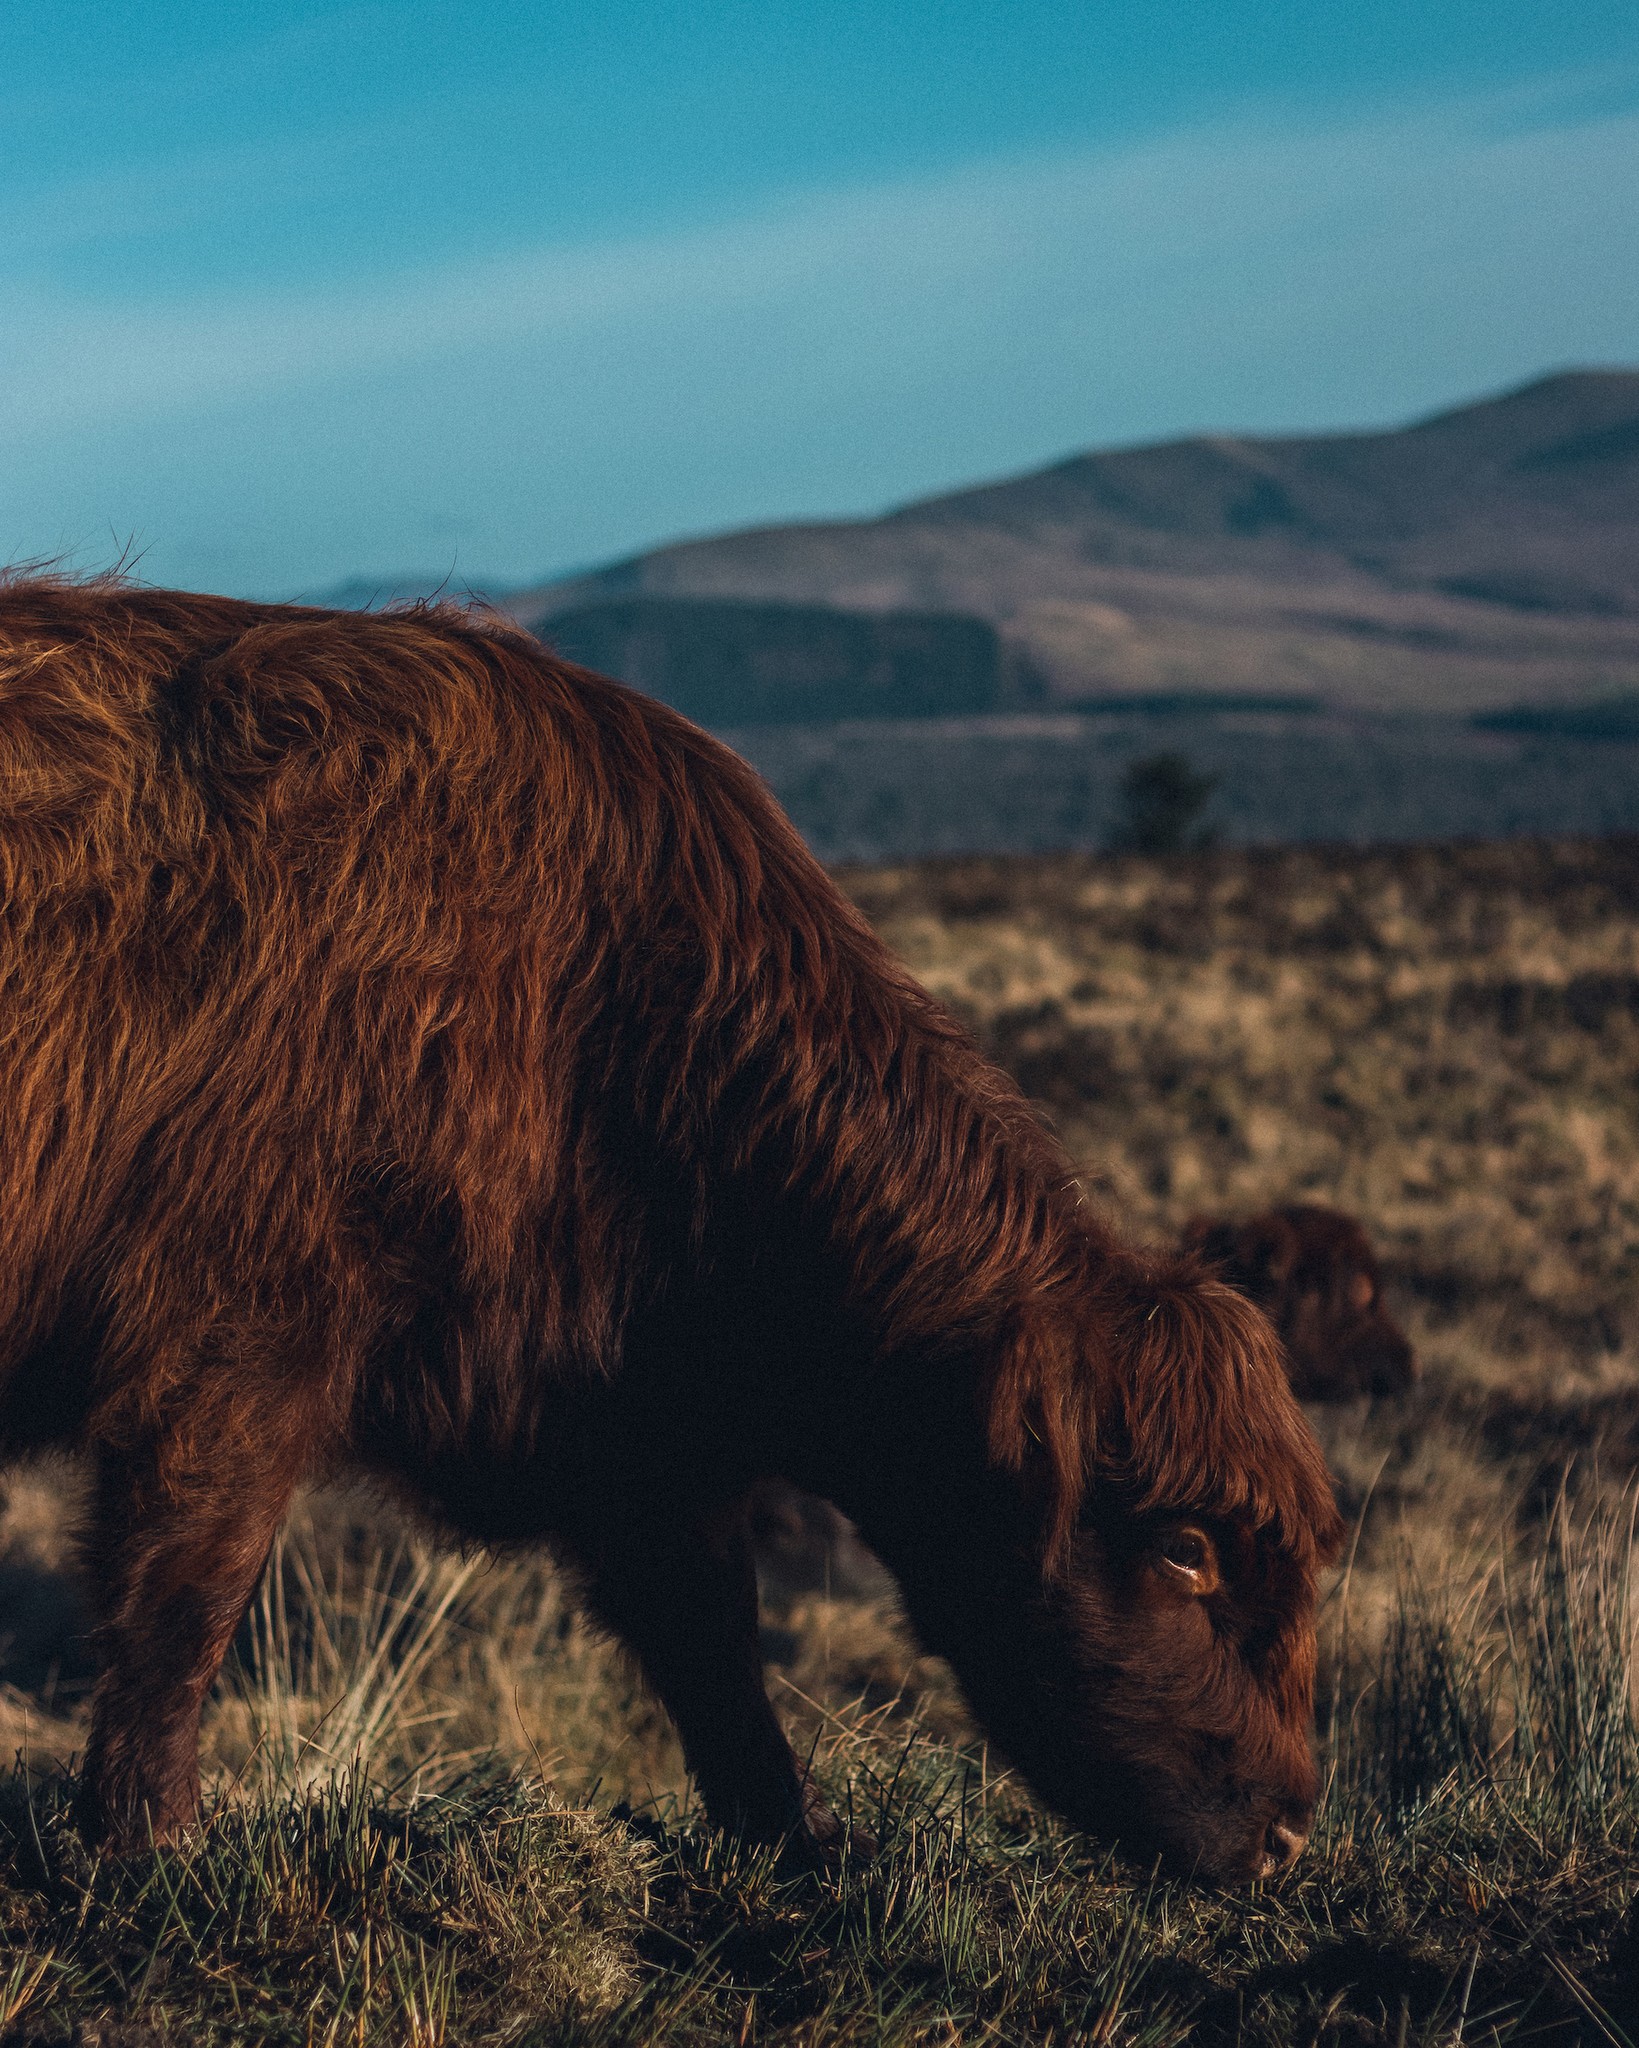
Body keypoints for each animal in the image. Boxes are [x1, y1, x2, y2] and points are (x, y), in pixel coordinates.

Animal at [0, 585, 1335, 1875]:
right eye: (1186, 1547)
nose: (1285, 1829)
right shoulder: (232, 1347)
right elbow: (183, 1595)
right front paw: (151, 1841)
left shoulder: (635, 1436)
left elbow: (710, 1640)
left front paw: (797, 1837)